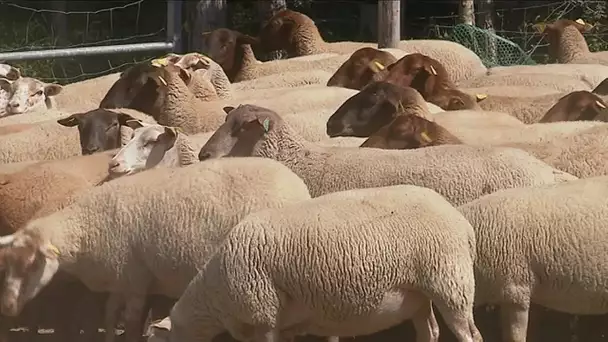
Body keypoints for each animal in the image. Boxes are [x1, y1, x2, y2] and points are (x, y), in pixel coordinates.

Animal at [0, 156, 314, 342]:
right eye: (9, 264)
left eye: (33, 264)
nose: (8, 307)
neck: (86, 227)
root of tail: (298, 186)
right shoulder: (121, 278)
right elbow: (110, 314)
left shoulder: (136, 280)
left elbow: (130, 320)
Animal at [148, 184, 484, 342]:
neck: (215, 296)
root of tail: (464, 225)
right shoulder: (283, 324)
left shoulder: (264, 315)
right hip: (418, 295)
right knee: (430, 331)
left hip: (450, 283)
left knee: (469, 334)